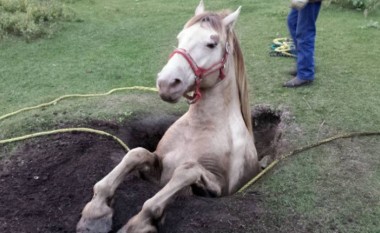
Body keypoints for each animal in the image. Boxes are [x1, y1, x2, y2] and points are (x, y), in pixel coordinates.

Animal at [77, 0, 262, 232]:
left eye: (212, 44)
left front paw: (140, 223)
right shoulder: (157, 169)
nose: (166, 83)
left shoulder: (218, 187)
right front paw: (95, 212)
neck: (200, 127)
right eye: (180, 38)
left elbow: (186, 171)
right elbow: (135, 154)